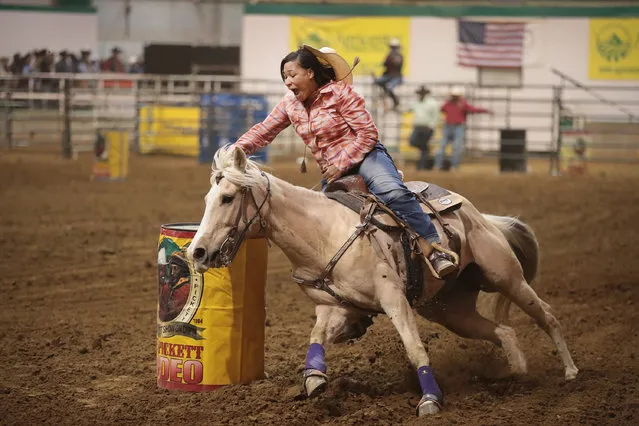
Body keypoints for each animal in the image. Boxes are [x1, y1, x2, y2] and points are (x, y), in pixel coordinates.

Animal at [186, 146, 580, 416]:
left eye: (227, 197)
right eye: (206, 198)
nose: (198, 251)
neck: (323, 233)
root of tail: (478, 214)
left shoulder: (393, 299)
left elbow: (414, 347)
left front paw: (430, 400)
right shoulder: (334, 307)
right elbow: (315, 338)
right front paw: (314, 379)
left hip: (506, 276)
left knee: (546, 315)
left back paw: (571, 372)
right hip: (450, 311)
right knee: (504, 331)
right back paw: (519, 373)